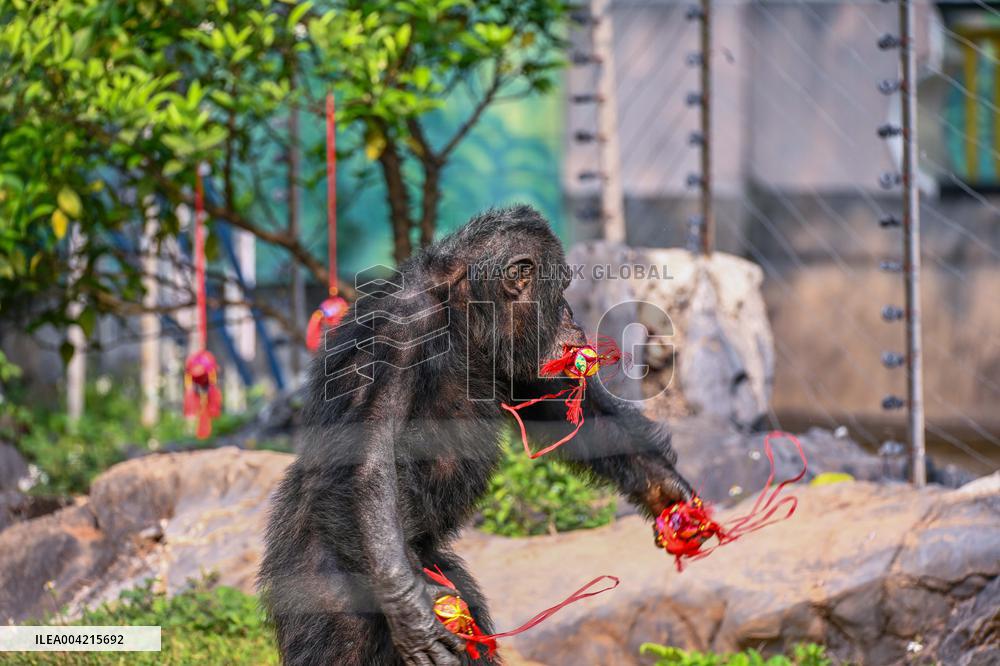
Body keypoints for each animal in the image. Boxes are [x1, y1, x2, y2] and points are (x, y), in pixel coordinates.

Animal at [258, 205, 693, 665]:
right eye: (560, 290)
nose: (571, 314)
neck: (460, 311)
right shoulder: (394, 336)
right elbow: (368, 457)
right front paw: (412, 612)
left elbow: (562, 408)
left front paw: (665, 489)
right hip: (324, 577)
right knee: (344, 640)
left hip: (437, 573)